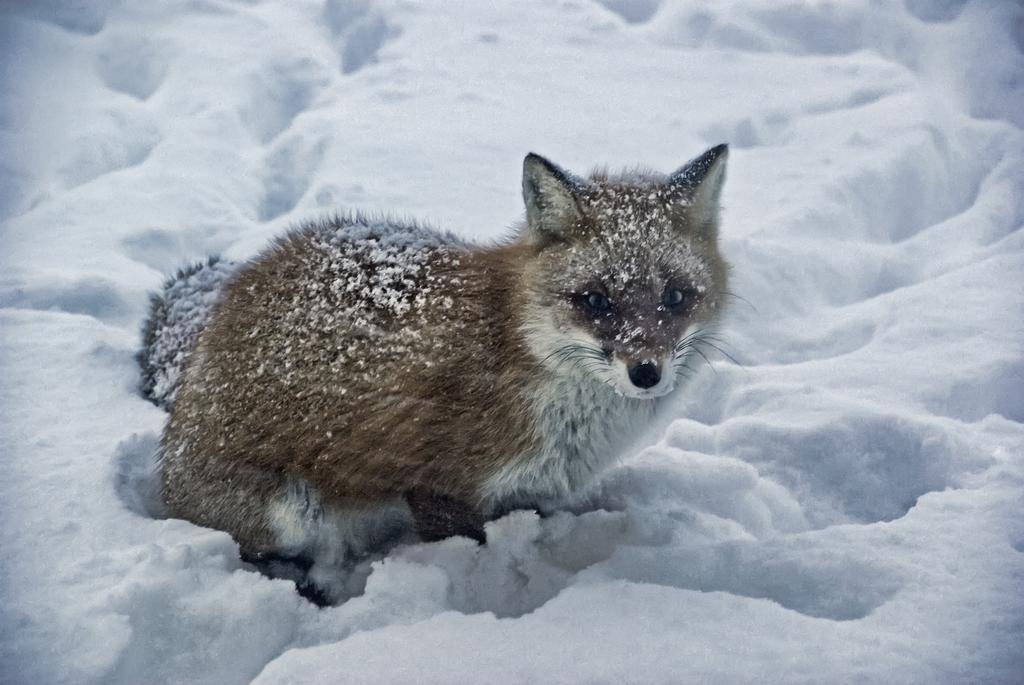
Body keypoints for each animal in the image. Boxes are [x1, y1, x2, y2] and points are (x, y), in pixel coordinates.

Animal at [146, 143, 737, 597]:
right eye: (595, 300)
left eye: (676, 296)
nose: (646, 372)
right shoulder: (438, 486)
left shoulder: (537, 492)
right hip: (293, 514)